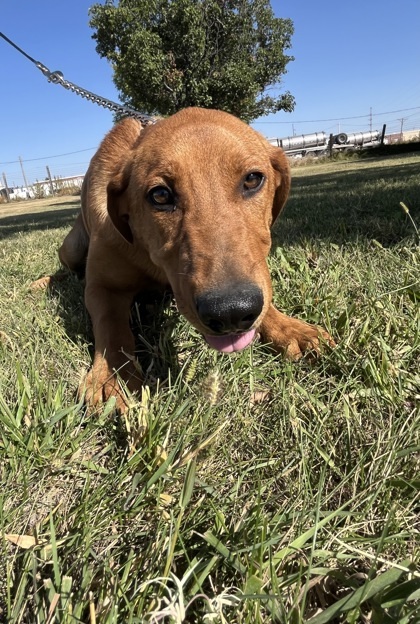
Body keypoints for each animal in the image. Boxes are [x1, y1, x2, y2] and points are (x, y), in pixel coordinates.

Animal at [59, 107, 334, 412]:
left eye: (252, 179)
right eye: (160, 195)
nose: (230, 312)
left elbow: (266, 301)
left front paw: (290, 328)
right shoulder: (102, 287)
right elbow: (111, 326)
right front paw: (112, 374)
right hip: (71, 249)